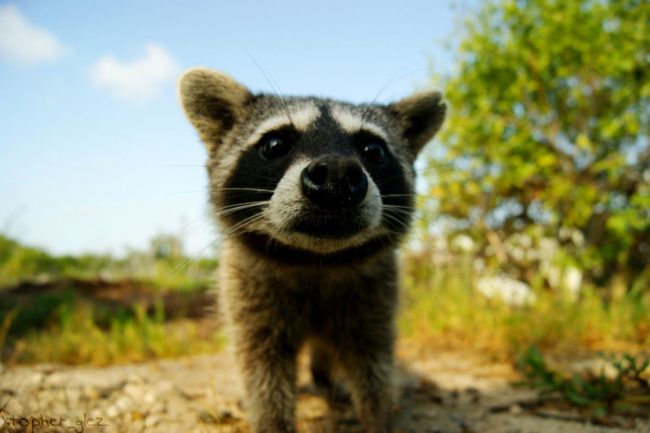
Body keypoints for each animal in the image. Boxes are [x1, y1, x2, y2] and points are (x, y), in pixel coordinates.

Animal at [177, 67, 440, 432]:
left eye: (374, 150)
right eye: (274, 145)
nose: (336, 175)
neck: (315, 258)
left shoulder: (376, 293)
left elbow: (372, 362)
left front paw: (378, 418)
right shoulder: (246, 288)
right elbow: (262, 369)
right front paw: (273, 422)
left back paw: (324, 377)